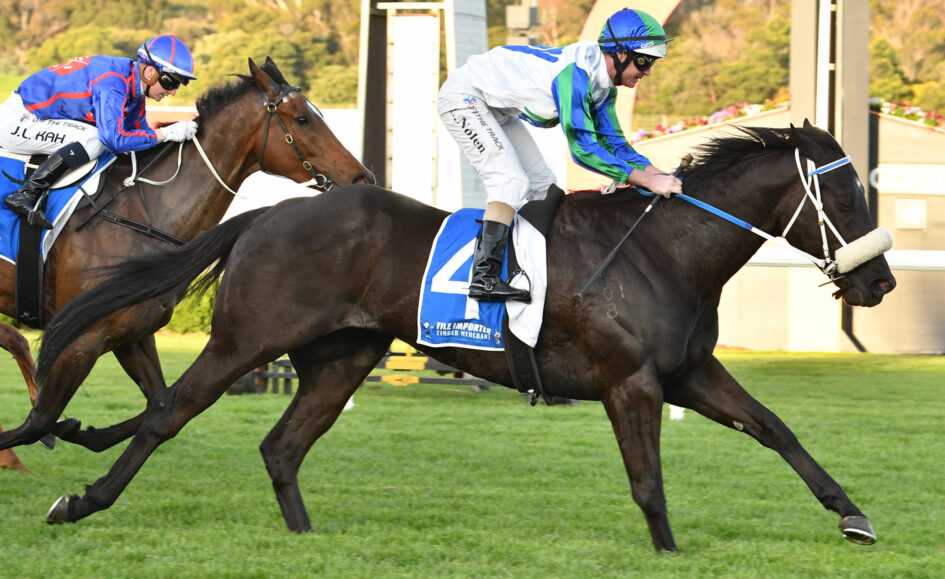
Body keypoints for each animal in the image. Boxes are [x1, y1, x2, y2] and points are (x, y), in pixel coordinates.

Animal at [0, 57, 372, 455]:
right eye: (303, 118)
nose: (363, 178)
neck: (143, 211)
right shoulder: (81, 338)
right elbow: (38, 422)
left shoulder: (131, 335)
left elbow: (159, 402)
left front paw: (85, 433)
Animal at [28, 122, 895, 551]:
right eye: (846, 194)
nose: (880, 283)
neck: (661, 249)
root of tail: (267, 212)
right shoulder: (631, 382)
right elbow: (647, 480)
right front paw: (669, 552)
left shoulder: (688, 373)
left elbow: (775, 428)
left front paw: (851, 514)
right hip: (245, 340)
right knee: (167, 414)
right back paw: (79, 501)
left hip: (341, 357)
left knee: (282, 445)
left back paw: (308, 541)